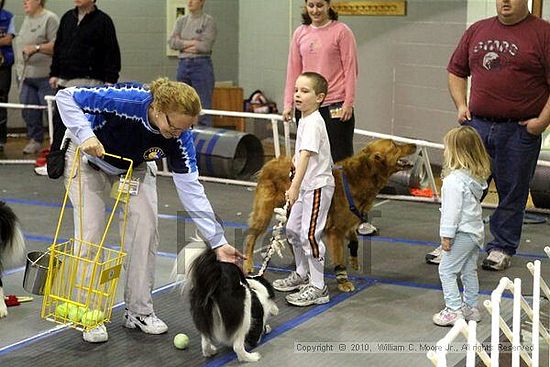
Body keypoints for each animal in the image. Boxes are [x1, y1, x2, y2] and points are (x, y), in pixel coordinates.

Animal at [246, 139, 418, 292]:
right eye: (395, 146)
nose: (415, 144)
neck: (360, 175)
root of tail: (271, 162)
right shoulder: (335, 230)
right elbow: (339, 256)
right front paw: (343, 281)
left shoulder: (348, 222)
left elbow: (354, 239)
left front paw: (354, 259)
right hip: (264, 213)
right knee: (251, 237)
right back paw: (248, 264)